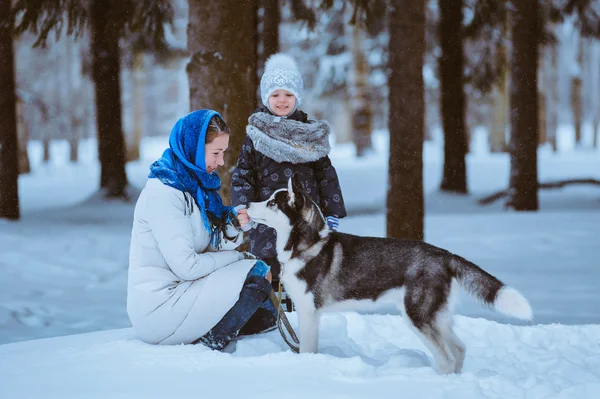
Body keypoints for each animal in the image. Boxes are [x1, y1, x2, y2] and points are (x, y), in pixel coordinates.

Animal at [246, 177, 532, 376]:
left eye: (272, 202)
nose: (247, 204)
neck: (306, 245)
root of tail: (444, 254)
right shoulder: (311, 314)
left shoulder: (308, 312)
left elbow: (306, 349)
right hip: (435, 317)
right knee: (460, 350)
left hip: (418, 316)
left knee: (447, 359)